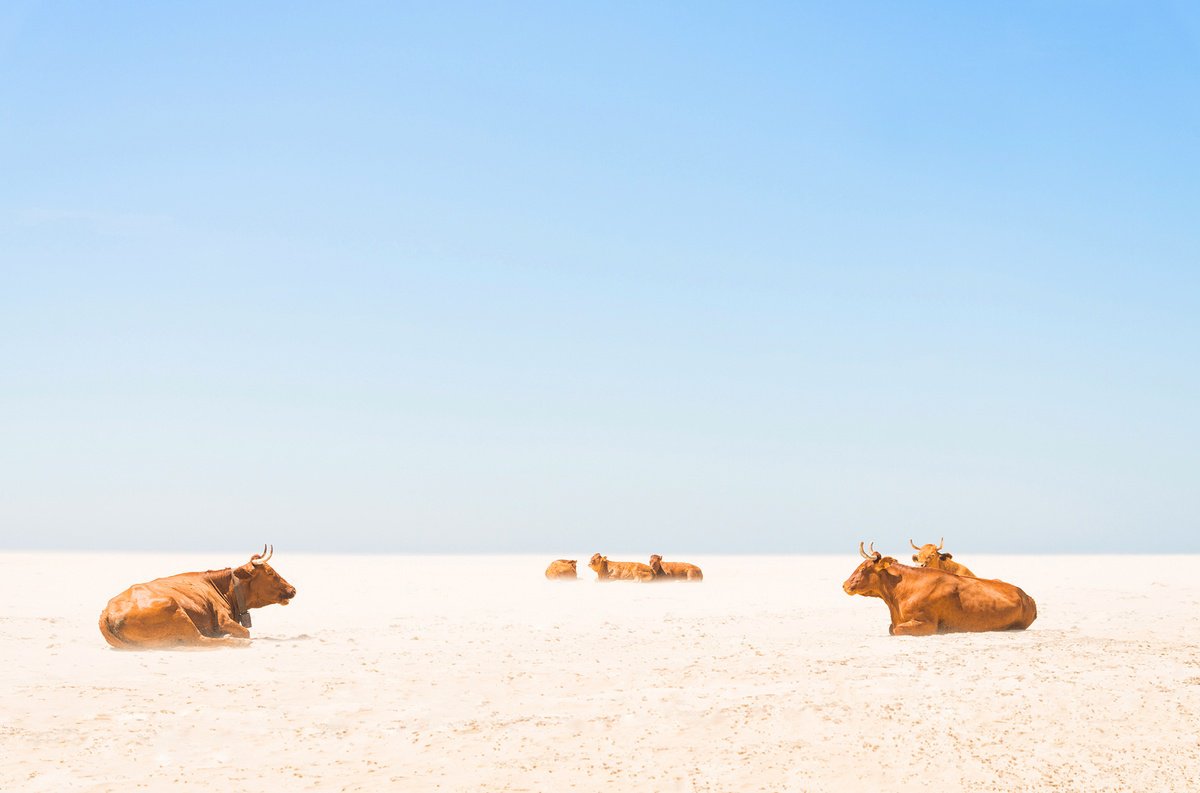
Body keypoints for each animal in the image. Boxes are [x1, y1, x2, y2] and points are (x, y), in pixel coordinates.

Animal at [98, 545, 296, 650]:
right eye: (270, 573)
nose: (293, 589)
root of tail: (106, 613)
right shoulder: (223, 619)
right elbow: (245, 632)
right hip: (177, 610)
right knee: (200, 640)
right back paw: (234, 641)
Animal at [843, 542, 1036, 636]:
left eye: (864, 568)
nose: (844, 585)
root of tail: (1026, 596)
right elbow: (892, 628)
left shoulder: (927, 624)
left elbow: (896, 630)